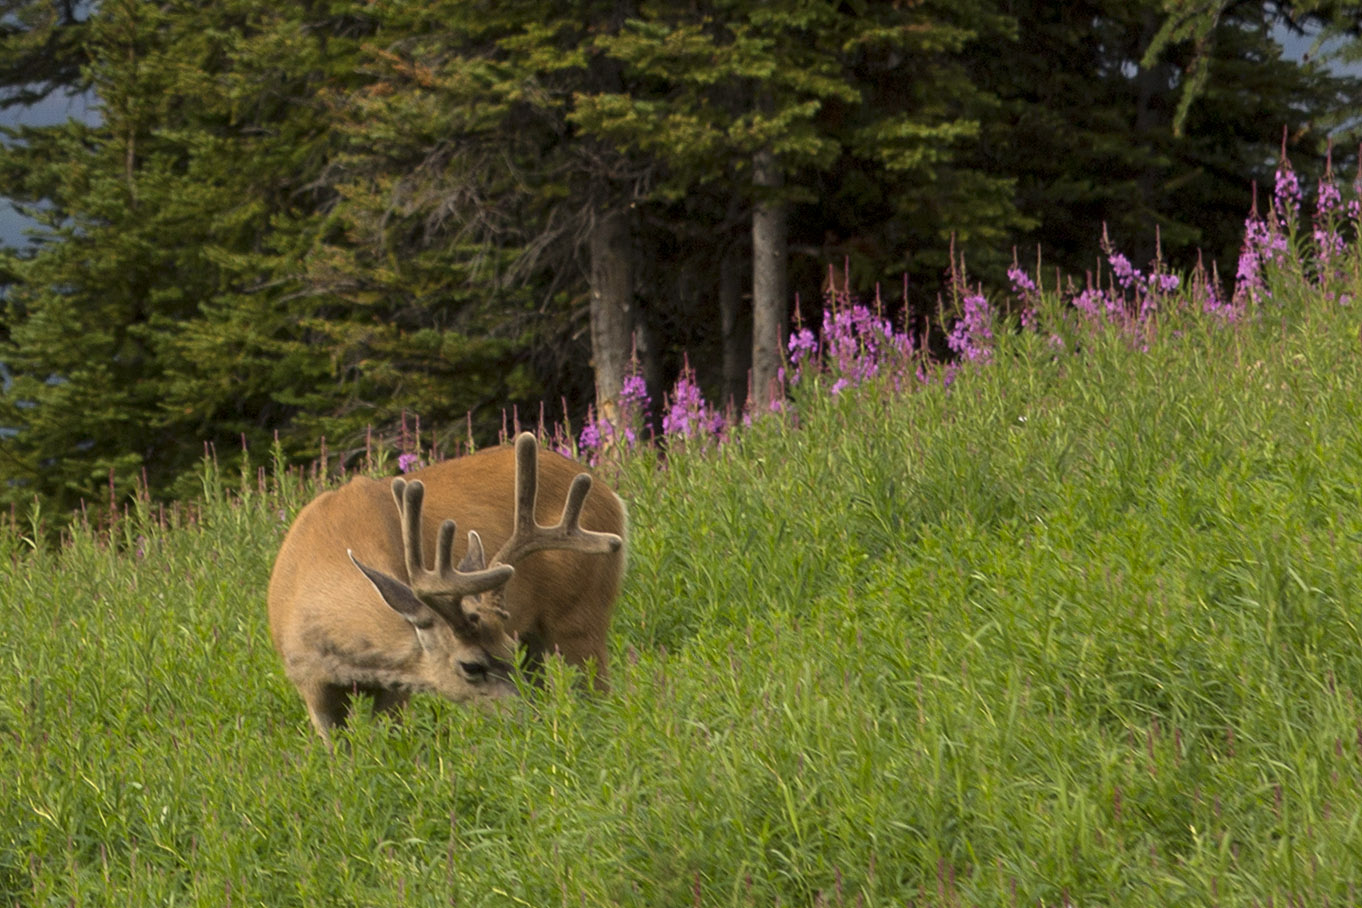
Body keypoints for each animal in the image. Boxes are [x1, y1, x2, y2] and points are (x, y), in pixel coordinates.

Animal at [267, 432, 627, 744]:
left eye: (505, 651)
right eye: (471, 666)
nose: (531, 717)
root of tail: (610, 494)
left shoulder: (401, 683)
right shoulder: (310, 684)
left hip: (581, 614)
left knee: (598, 690)